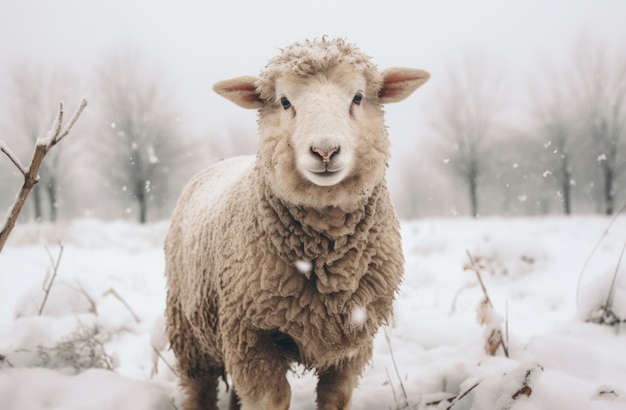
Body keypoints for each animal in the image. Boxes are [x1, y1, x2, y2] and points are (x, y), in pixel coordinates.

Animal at [165, 36, 428, 410]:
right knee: (199, 388)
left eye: (358, 97)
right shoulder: (250, 336)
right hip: (188, 331)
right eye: (285, 101)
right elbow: (271, 400)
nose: (325, 151)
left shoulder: (354, 340)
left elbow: (335, 397)